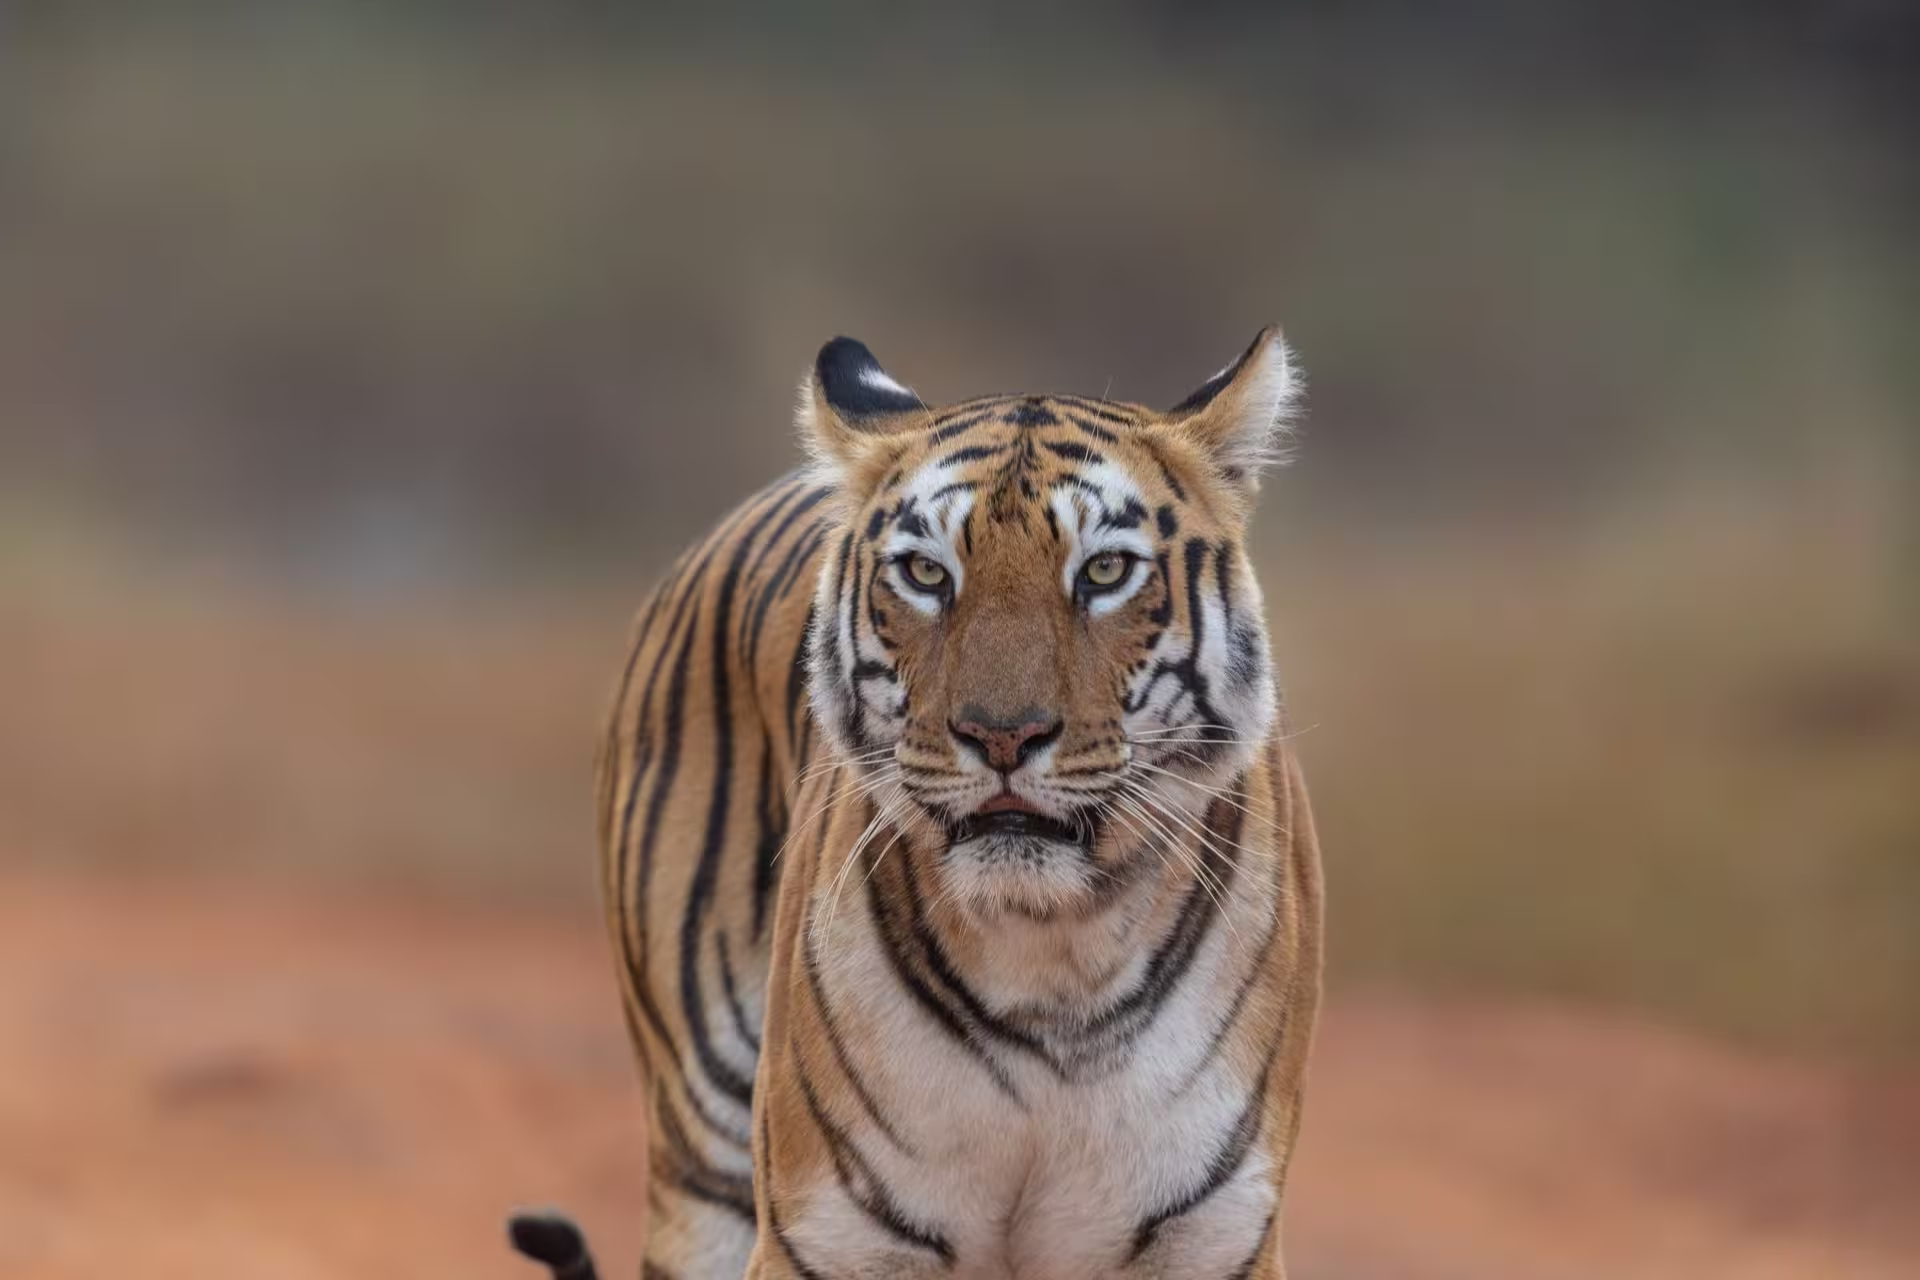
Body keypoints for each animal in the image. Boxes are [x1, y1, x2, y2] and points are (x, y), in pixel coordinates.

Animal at [576, 328, 1324, 1280]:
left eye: (1105, 570)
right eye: (928, 574)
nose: (1002, 736)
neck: (1052, 953)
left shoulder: (1209, 1236)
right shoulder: (832, 1234)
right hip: (702, 1138)